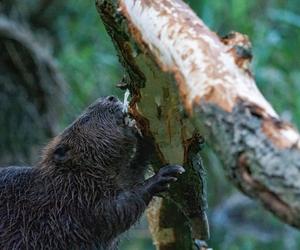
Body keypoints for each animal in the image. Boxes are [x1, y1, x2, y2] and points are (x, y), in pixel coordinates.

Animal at [0, 95, 185, 248]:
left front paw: (143, 137)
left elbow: (130, 177)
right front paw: (164, 176)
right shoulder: (74, 202)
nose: (110, 97)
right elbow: (115, 211)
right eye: (86, 119)